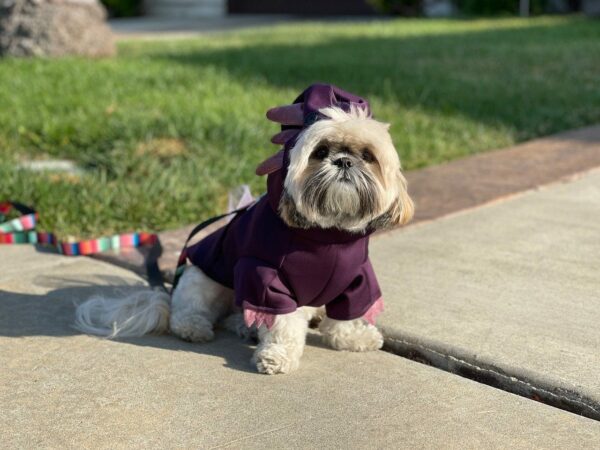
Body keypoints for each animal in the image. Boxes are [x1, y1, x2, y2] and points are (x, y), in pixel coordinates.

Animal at [74, 82, 412, 374]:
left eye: (367, 155)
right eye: (320, 152)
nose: (343, 161)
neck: (327, 236)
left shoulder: (356, 278)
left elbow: (348, 314)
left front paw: (353, 337)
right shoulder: (265, 277)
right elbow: (282, 324)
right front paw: (278, 355)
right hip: (204, 279)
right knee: (192, 311)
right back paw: (199, 326)